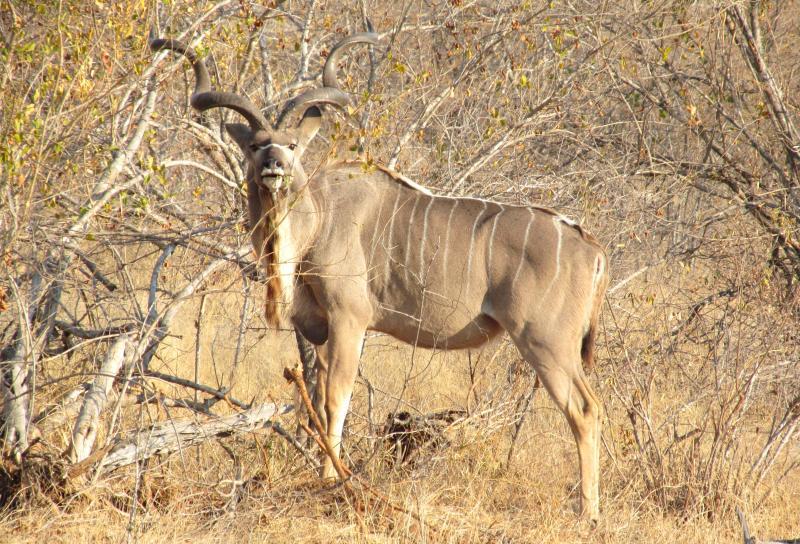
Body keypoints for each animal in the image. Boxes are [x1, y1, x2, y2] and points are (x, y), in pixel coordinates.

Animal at [153, 31, 608, 520]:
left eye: (291, 145)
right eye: (256, 145)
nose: (274, 167)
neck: (317, 221)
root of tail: (591, 246)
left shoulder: (349, 320)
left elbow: (337, 399)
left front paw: (330, 478)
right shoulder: (322, 329)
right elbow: (316, 399)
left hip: (545, 341)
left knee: (585, 409)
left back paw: (589, 510)